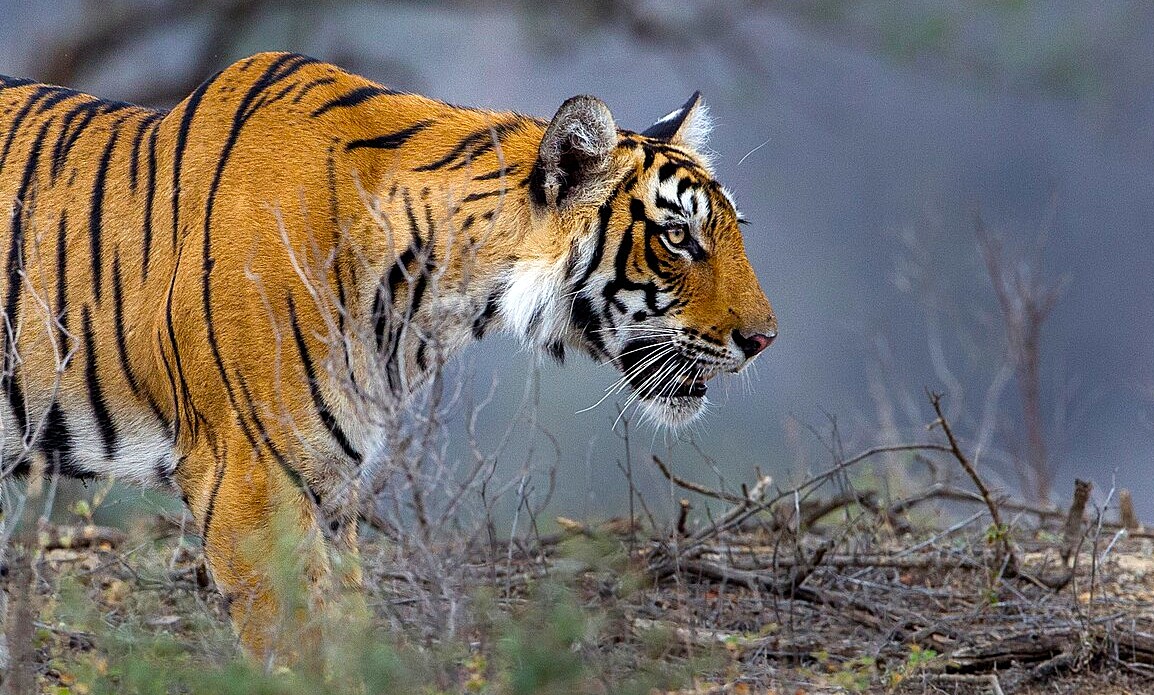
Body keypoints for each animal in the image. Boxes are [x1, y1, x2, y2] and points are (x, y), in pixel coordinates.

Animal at [0, 52, 776, 662]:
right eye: (678, 237)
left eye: (731, 229)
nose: (765, 338)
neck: (431, 302)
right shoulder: (247, 483)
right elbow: (298, 650)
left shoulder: (330, 489)